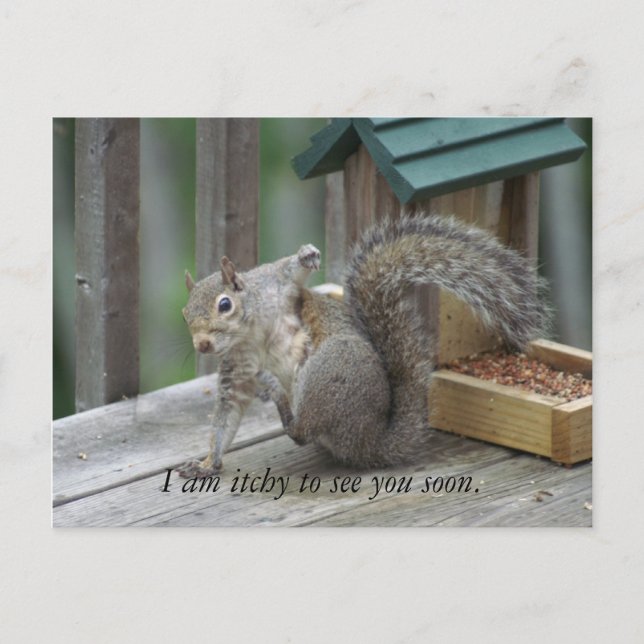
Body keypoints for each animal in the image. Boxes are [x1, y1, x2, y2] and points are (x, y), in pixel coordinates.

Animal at [179, 213, 550, 477]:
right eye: (185, 315)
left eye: (224, 304)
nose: (202, 344)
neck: (251, 331)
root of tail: (370, 443)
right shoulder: (238, 364)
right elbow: (227, 412)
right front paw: (208, 463)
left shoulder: (276, 286)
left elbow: (289, 270)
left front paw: (306, 255)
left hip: (330, 367)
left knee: (301, 430)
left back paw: (275, 390)